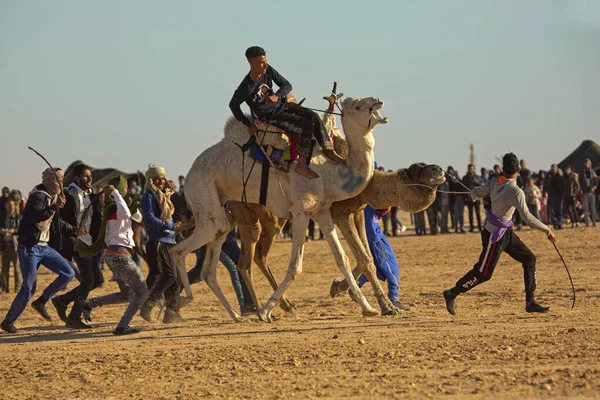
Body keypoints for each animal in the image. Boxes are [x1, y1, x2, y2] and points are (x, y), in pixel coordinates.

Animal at [171, 87, 386, 322]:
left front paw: (368, 308)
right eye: (357, 105)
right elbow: (295, 267)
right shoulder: (301, 211)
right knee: (178, 251)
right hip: (204, 195)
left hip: (221, 210)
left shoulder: (321, 211)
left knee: (209, 267)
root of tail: (190, 175)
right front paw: (266, 311)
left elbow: (342, 259)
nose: (378, 100)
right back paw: (181, 303)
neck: (329, 170)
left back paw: (234, 315)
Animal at [230, 162, 446, 318]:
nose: (439, 169)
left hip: (272, 221)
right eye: (418, 169)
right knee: (246, 262)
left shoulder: (358, 211)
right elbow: (365, 259)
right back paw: (260, 310)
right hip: (252, 218)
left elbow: (367, 256)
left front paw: (342, 289)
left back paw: (286, 306)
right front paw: (386, 307)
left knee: (259, 256)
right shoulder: (341, 213)